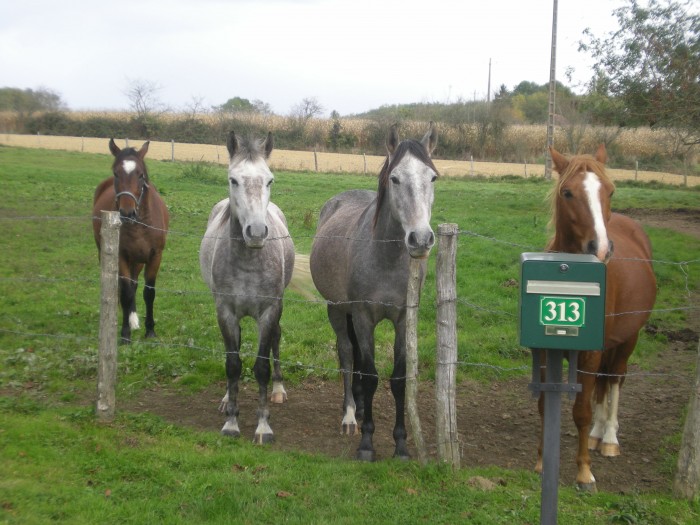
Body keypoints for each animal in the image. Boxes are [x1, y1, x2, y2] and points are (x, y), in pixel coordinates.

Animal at [91, 139, 168, 344]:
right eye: (116, 173)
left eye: (140, 175)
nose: (127, 212)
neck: (139, 226)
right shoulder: (121, 256)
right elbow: (125, 292)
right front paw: (125, 334)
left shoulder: (155, 256)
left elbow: (149, 292)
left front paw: (150, 330)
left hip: (138, 261)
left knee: (134, 285)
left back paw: (134, 320)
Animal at [200, 130, 296, 442]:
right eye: (233, 179)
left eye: (270, 180)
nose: (256, 232)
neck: (247, 261)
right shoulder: (225, 312)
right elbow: (233, 363)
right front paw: (231, 421)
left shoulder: (269, 312)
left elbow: (262, 366)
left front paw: (263, 426)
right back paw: (225, 400)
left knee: (276, 339)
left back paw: (278, 390)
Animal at [310, 123, 438, 458]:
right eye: (395, 178)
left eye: (433, 177)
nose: (421, 239)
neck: (386, 259)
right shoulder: (363, 317)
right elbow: (368, 376)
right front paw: (367, 443)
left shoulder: (404, 320)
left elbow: (398, 379)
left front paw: (401, 445)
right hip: (337, 310)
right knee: (346, 354)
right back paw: (350, 416)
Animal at [536, 145, 656, 490]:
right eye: (567, 192)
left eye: (611, 191)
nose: (601, 248)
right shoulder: (545, 350)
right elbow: (544, 405)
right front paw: (541, 461)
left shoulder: (590, 352)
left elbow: (581, 411)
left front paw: (584, 471)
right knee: (604, 383)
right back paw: (596, 435)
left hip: (629, 339)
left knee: (614, 379)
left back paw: (609, 437)